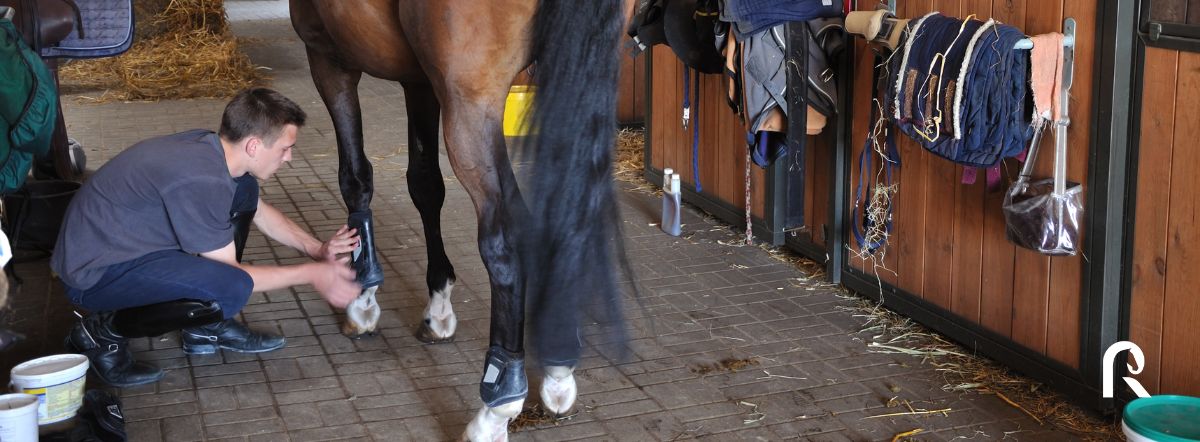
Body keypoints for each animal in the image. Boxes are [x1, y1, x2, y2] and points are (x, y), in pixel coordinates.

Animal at [289, 1, 633, 439]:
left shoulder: (329, 60)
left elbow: (355, 177)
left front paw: (362, 295)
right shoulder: (417, 80)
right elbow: (424, 184)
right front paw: (438, 306)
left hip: (470, 109)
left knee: (506, 241)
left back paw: (498, 404)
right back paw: (558, 369)